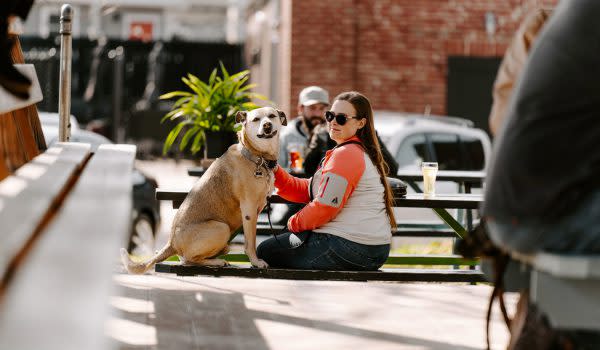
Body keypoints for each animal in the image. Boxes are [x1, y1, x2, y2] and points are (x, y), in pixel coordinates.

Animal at [121, 106, 286, 274]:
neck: (257, 157)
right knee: (189, 259)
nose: (267, 125)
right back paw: (217, 262)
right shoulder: (249, 210)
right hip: (222, 228)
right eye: (256, 119)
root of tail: (171, 243)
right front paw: (255, 262)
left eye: (271, 116)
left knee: (186, 259)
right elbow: (251, 242)